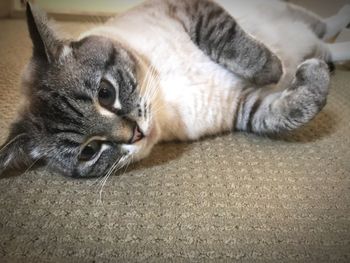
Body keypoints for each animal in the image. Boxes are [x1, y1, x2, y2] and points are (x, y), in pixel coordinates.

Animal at [0, 0, 350, 177]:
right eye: (89, 150)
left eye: (105, 93)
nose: (135, 134)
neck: (166, 94)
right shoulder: (243, 106)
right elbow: (289, 112)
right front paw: (307, 74)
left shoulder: (190, 9)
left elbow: (230, 42)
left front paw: (275, 69)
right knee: (329, 47)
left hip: (293, 15)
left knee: (325, 27)